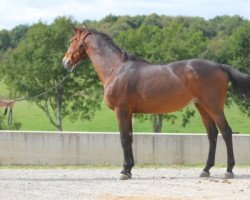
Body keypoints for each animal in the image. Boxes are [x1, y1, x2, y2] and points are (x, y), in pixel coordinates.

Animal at [62, 25, 250, 180]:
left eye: (72, 41)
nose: (65, 62)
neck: (116, 69)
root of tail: (219, 66)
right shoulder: (128, 112)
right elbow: (130, 138)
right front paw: (129, 170)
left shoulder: (121, 110)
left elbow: (123, 139)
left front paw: (124, 171)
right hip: (202, 107)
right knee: (212, 134)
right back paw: (205, 169)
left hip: (213, 106)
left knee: (226, 132)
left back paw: (229, 170)